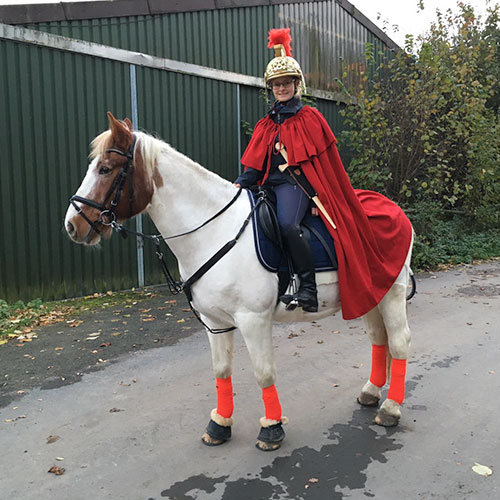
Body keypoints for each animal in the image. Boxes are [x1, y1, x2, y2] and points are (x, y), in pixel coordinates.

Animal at [64, 114, 412, 454]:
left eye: (105, 169)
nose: (72, 225)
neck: (213, 229)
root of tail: (395, 209)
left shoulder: (253, 319)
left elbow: (263, 372)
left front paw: (271, 428)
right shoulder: (214, 321)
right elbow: (221, 370)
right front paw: (219, 425)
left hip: (392, 294)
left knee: (399, 341)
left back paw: (391, 409)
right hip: (369, 294)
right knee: (378, 338)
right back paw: (371, 392)